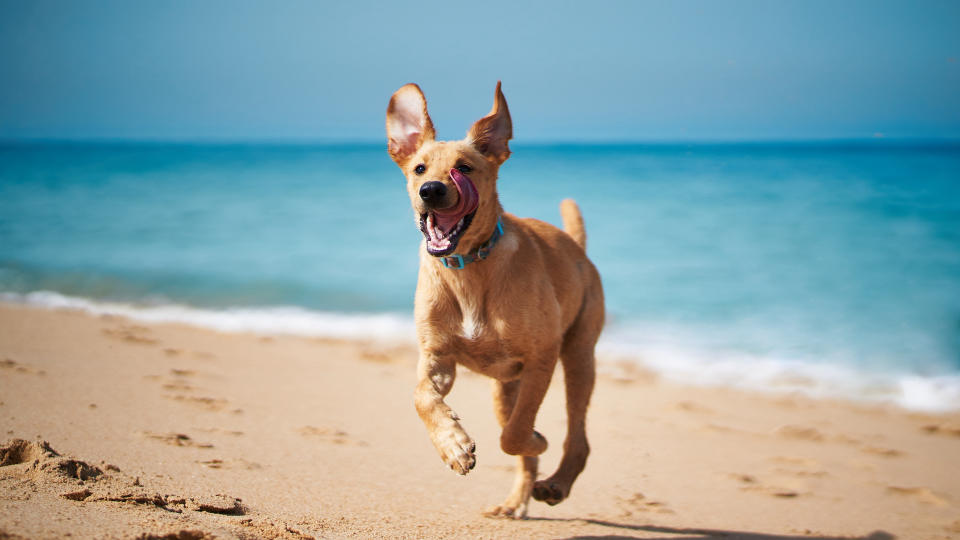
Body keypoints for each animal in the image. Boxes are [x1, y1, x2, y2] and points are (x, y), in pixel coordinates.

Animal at [386, 81, 604, 520]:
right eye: (419, 169)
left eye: (465, 168)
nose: (431, 191)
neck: (468, 268)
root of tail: (578, 249)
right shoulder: (437, 357)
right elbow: (421, 396)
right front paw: (452, 445)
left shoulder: (542, 357)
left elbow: (515, 434)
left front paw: (535, 438)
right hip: (505, 388)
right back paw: (515, 502)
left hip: (578, 357)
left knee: (576, 436)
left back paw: (556, 483)